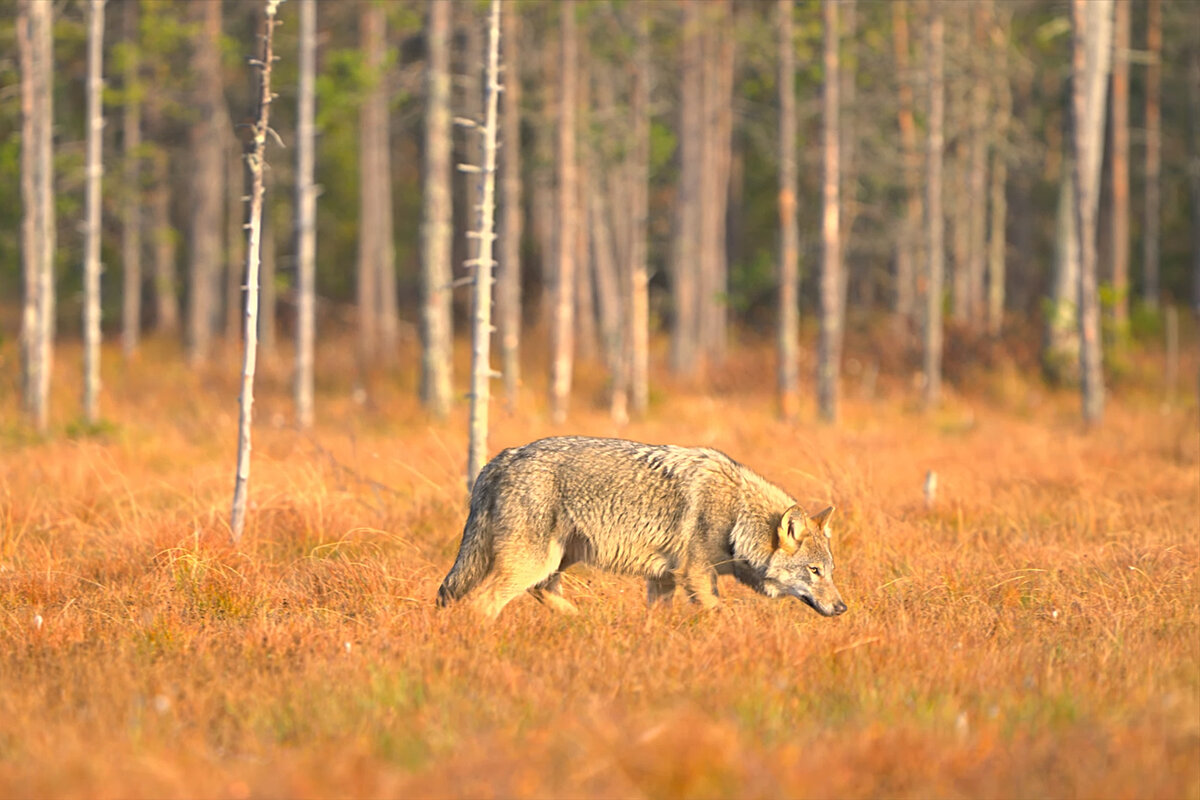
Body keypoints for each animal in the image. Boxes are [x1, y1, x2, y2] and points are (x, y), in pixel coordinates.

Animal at [436, 438, 849, 618]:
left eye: (829, 572)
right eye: (813, 571)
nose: (843, 607)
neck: (737, 516)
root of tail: (499, 459)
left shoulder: (662, 578)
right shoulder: (696, 575)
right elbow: (720, 614)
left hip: (558, 560)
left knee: (542, 592)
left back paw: (583, 623)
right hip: (534, 562)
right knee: (482, 603)